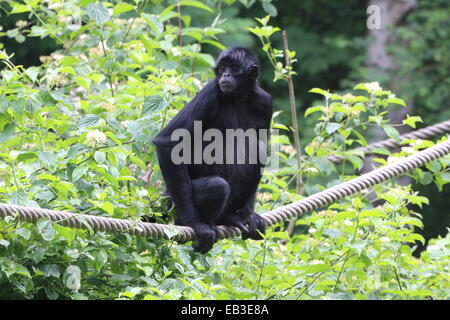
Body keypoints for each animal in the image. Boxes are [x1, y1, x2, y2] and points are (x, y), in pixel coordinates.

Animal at [155, 47, 272, 252]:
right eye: (223, 68)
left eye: (234, 68)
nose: (225, 75)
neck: (237, 99)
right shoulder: (211, 91)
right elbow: (167, 143)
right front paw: (197, 224)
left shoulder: (265, 102)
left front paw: (250, 214)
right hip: (172, 202)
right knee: (218, 186)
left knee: (257, 149)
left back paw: (230, 217)